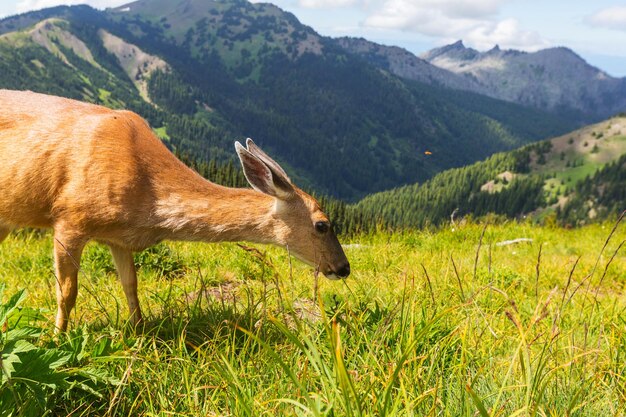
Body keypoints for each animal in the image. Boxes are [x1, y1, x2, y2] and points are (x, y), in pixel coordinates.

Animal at [0, 88, 352, 332]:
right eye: (323, 224)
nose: (344, 267)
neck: (148, 199)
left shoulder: (118, 238)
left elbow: (131, 286)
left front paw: (139, 333)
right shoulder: (70, 218)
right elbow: (67, 293)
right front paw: (58, 338)